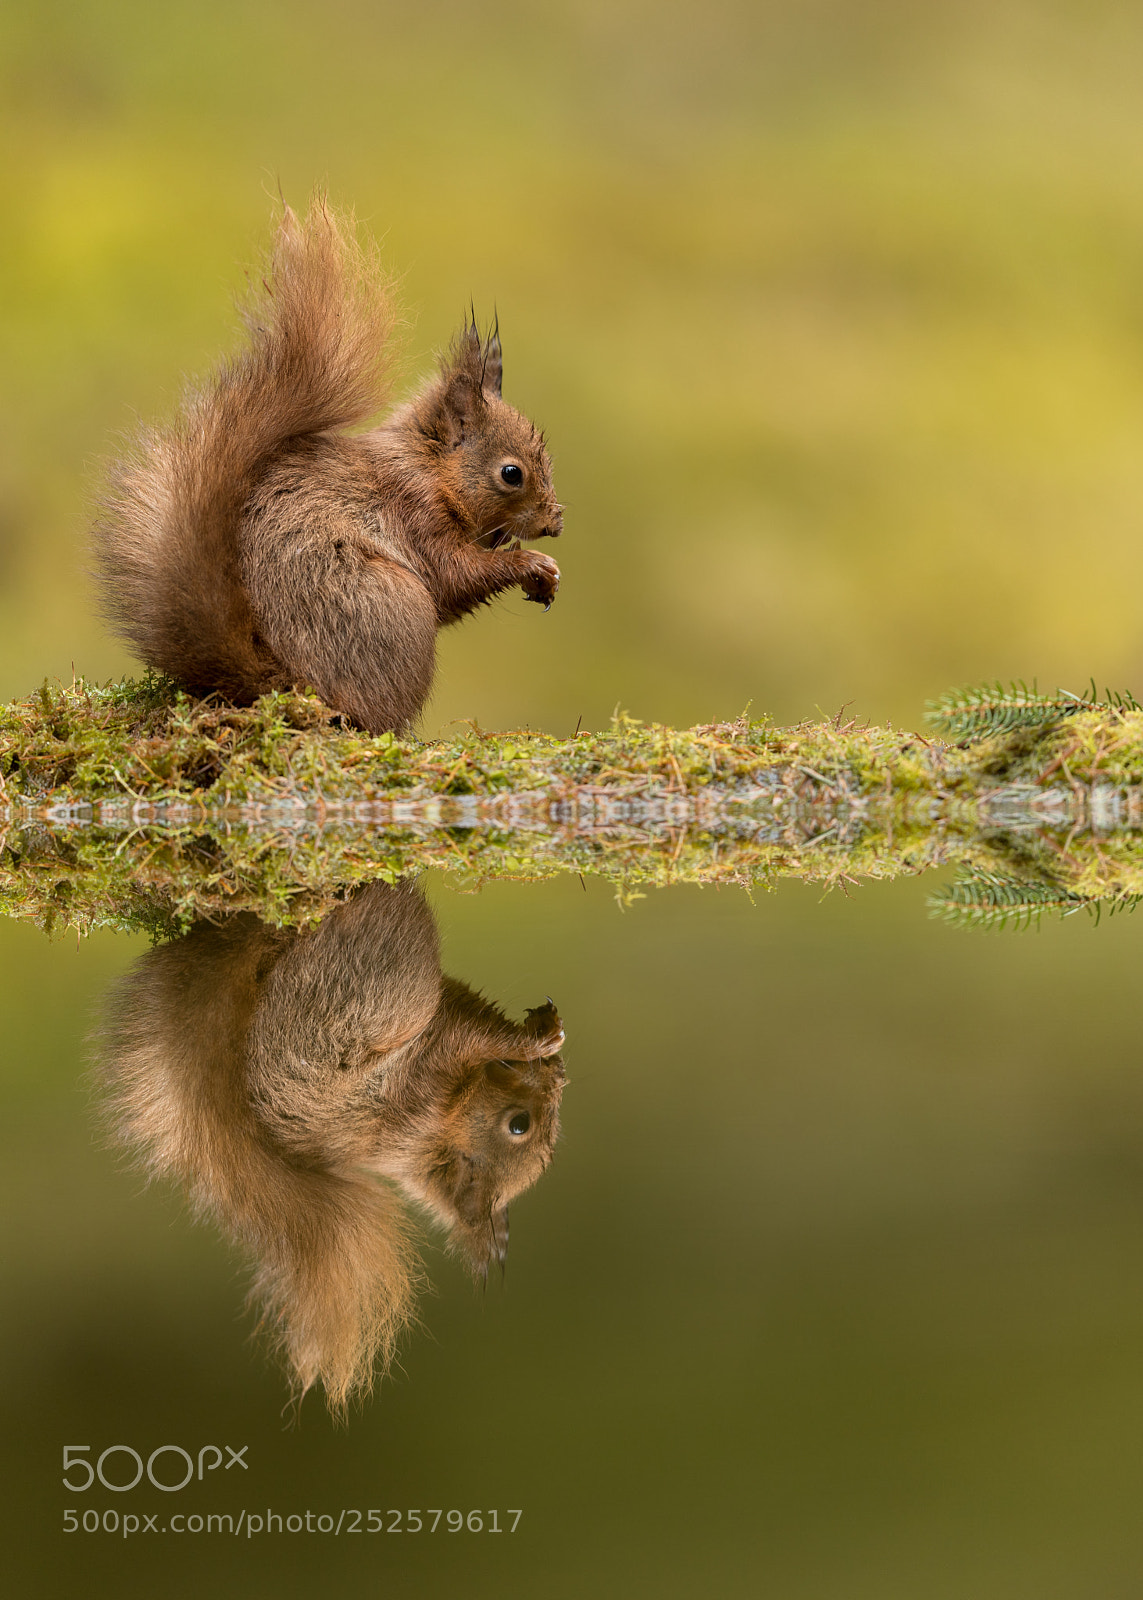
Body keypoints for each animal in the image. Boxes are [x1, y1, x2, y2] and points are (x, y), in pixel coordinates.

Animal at [93, 199, 563, 733]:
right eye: (511, 474)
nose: (555, 522)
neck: (428, 468)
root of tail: (286, 685)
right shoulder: (415, 513)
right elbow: (455, 575)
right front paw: (531, 564)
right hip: (397, 607)